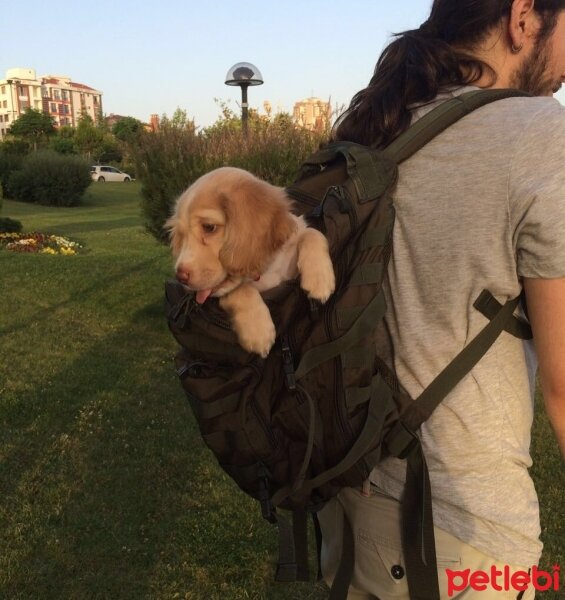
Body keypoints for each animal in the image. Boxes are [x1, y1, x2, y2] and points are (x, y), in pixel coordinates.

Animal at [166, 166, 334, 356]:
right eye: (181, 235)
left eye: (209, 227)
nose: (180, 276)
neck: (263, 272)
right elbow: (241, 289)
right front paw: (258, 332)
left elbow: (312, 233)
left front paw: (319, 280)